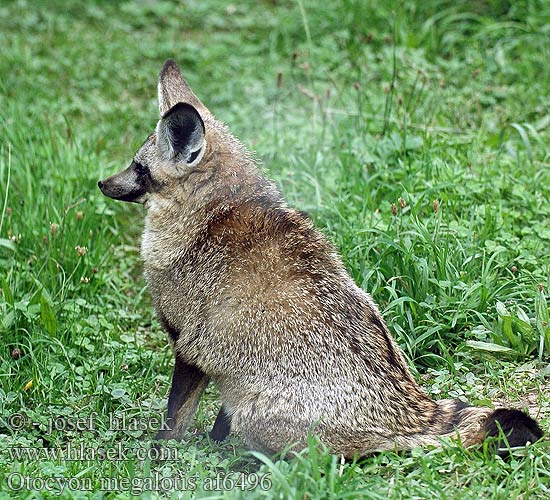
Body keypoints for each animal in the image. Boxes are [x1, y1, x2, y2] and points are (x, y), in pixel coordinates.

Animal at [98, 58, 544, 458]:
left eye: (138, 167)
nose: (101, 183)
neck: (210, 214)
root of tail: (408, 415)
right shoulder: (219, 368)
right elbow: (214, 423)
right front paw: (211, 444)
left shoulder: (187, 347)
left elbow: (174, 419)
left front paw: (158, 454)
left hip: (255, 417)